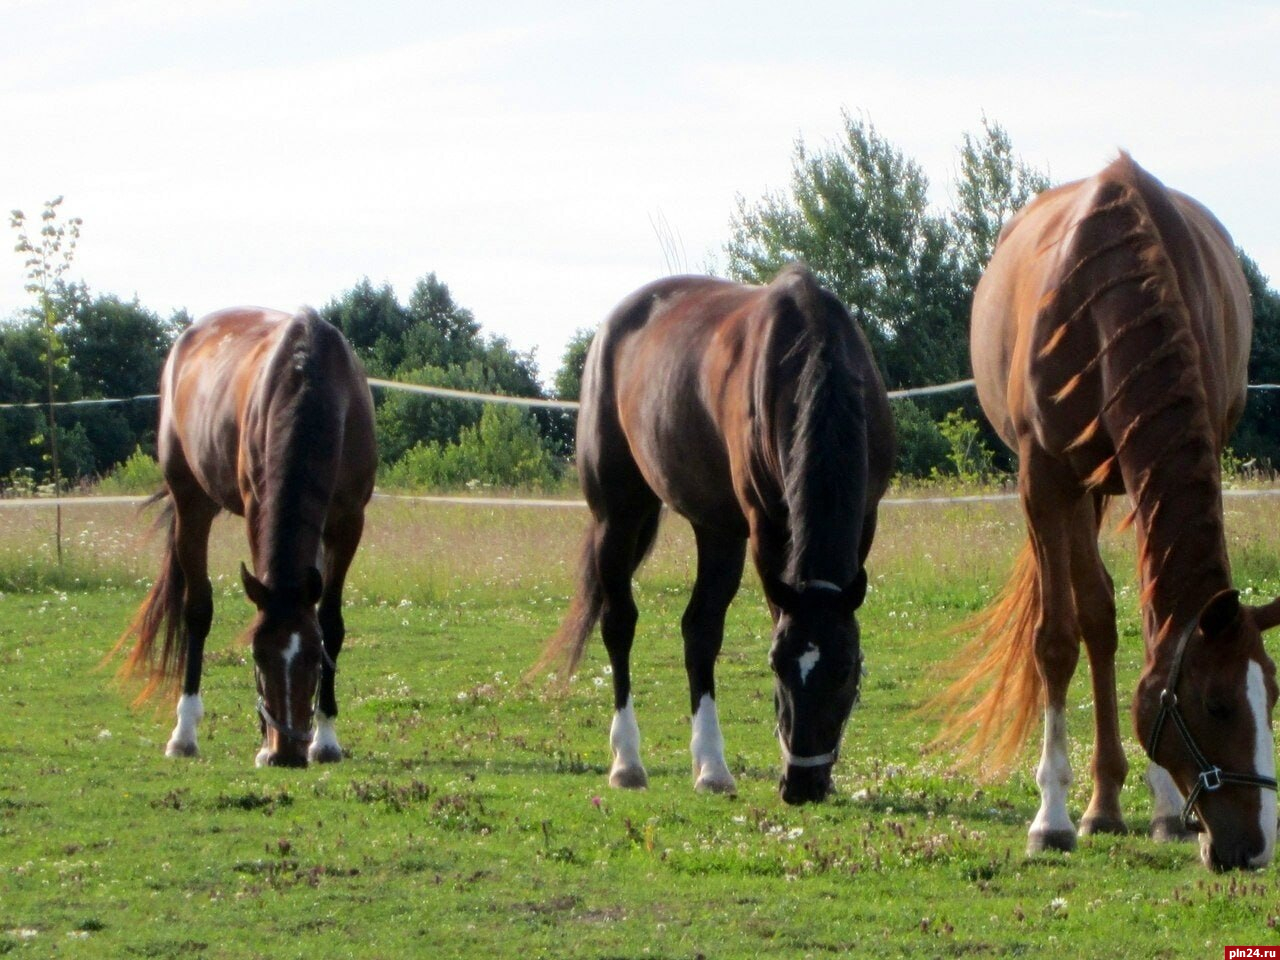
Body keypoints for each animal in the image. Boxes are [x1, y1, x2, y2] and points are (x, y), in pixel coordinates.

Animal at [115, 312, 376, 773]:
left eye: (314, 656)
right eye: (257, 655)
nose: (285, 754)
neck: (311, 381)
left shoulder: (349, 521)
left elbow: (331, 622)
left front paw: (326, 739)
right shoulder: (257, 505)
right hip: (192, 503)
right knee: (197, 611)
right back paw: (184, 733)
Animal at [535, 263, 896, 803]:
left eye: (847, 669)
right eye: (776, 666)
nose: (803, 785)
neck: (813, 357)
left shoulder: (864, 520)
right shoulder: (767, 525)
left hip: (717, 528)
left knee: (700, 630)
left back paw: (711, 767)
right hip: (618, 516)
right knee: (619, 623)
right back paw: (628, 761)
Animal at [952, 156, 1280, 870]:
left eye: (1271, 695)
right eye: (1216, 706)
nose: (1254, 848)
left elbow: (1153, 626)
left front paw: (1163, 809)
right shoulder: (1045, 480)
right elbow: (1056, 640)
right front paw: (1050, 816)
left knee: (1104, 614)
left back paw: (1115, 803)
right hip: (1080, 489)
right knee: (1093, 617)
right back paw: (1093, 805)